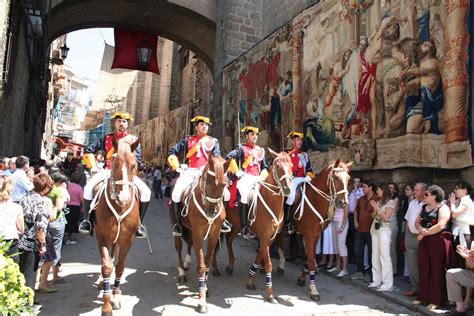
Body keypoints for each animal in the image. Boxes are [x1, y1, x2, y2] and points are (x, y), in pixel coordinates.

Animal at [90, 136, 139, 316]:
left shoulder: (127, 240)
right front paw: (106, 305)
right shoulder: (102, 238)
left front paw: (116, 296)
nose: (123, 197)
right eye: (114, 162)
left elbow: (120, 268)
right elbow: (106, 268)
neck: (119, 207)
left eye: (134, 164)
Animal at [175, 156, 232, 314]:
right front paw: (202, 301)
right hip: (178, 227)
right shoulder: (198, 234)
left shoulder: (214, 234)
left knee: (189, 244)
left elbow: (207, 263)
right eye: (207, 180)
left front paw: (204, 289)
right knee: (178, 246)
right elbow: (201, 266)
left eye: (224, 184)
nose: (211, 213)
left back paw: (187, 263)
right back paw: (181, 272)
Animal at [244, 151, 292, 304]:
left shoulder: (270, 237)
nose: (287, 189)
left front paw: (250, 280)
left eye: (291, 165)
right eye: (277, 166)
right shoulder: (264, 236)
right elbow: (268, 263)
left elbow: (260, 256)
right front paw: (270, 293)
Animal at [274, 159, 352, 300]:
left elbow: (312, 262)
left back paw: (281, 265)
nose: (343, 203)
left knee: (279, 243)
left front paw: (302, 277)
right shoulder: (309, 236)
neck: (316, 199)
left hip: (283, 230)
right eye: (336, 177)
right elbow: (311, 261)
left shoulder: (316, 236)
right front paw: (314, 290)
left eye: (348, 178)